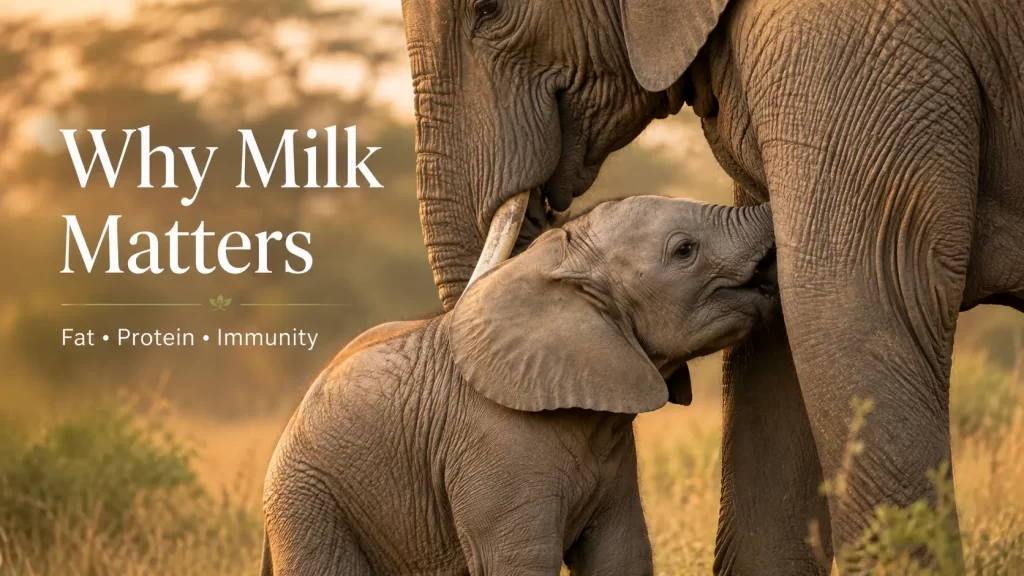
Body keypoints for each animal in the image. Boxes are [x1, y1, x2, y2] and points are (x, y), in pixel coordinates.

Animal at [260, 197, 778, 576]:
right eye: (685, 250)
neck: (560, 263)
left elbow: (622, 553)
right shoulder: (494, 443)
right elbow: (519, 562)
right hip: (306, 502)